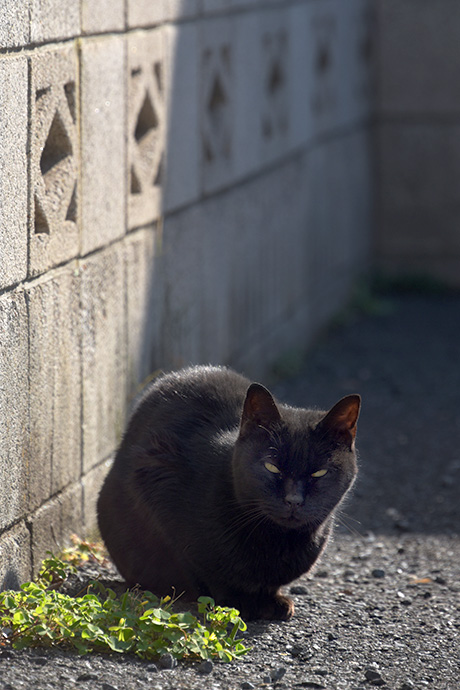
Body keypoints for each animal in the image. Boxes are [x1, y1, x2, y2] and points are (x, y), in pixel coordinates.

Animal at [99, 366, 362, 620]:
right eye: (272, 467)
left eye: (319, 473)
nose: (294, 500)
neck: (277, 540)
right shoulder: (156, 475)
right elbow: (206, 570)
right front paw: (241, 603)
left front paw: (272, 600)